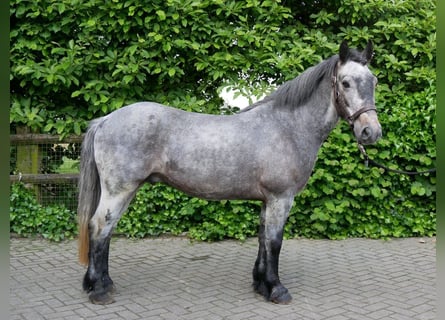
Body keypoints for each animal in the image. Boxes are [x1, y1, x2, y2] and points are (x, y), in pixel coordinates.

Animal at [77, 40, 382, 304]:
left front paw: (261, 284)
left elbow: (262, 239)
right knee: (100, 228)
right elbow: (275, 242)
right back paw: (100, 290)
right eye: (345, 83)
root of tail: (105, 120)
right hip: (119, 190)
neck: (287, 127)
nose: (371, 132)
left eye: (374, 81)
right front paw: (277, 289)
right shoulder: (281, 199)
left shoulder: (267, 201)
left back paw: (98, 284)